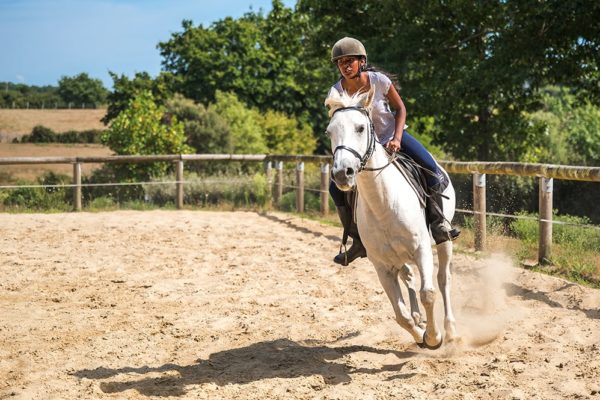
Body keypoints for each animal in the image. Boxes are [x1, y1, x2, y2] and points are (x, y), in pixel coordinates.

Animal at [326, 88, 458, 350]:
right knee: (408, 277)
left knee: (443, 279)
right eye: (329, 131)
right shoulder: (381, 265)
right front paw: (420, 334)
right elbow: (400, 315)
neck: (384, 204)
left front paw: (433, 338)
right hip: (396, 257)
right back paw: (419, 318)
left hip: (443, 240)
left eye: (360, 128)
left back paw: (449, 330)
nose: (342, 173)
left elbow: (428, 293)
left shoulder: (421, 250)